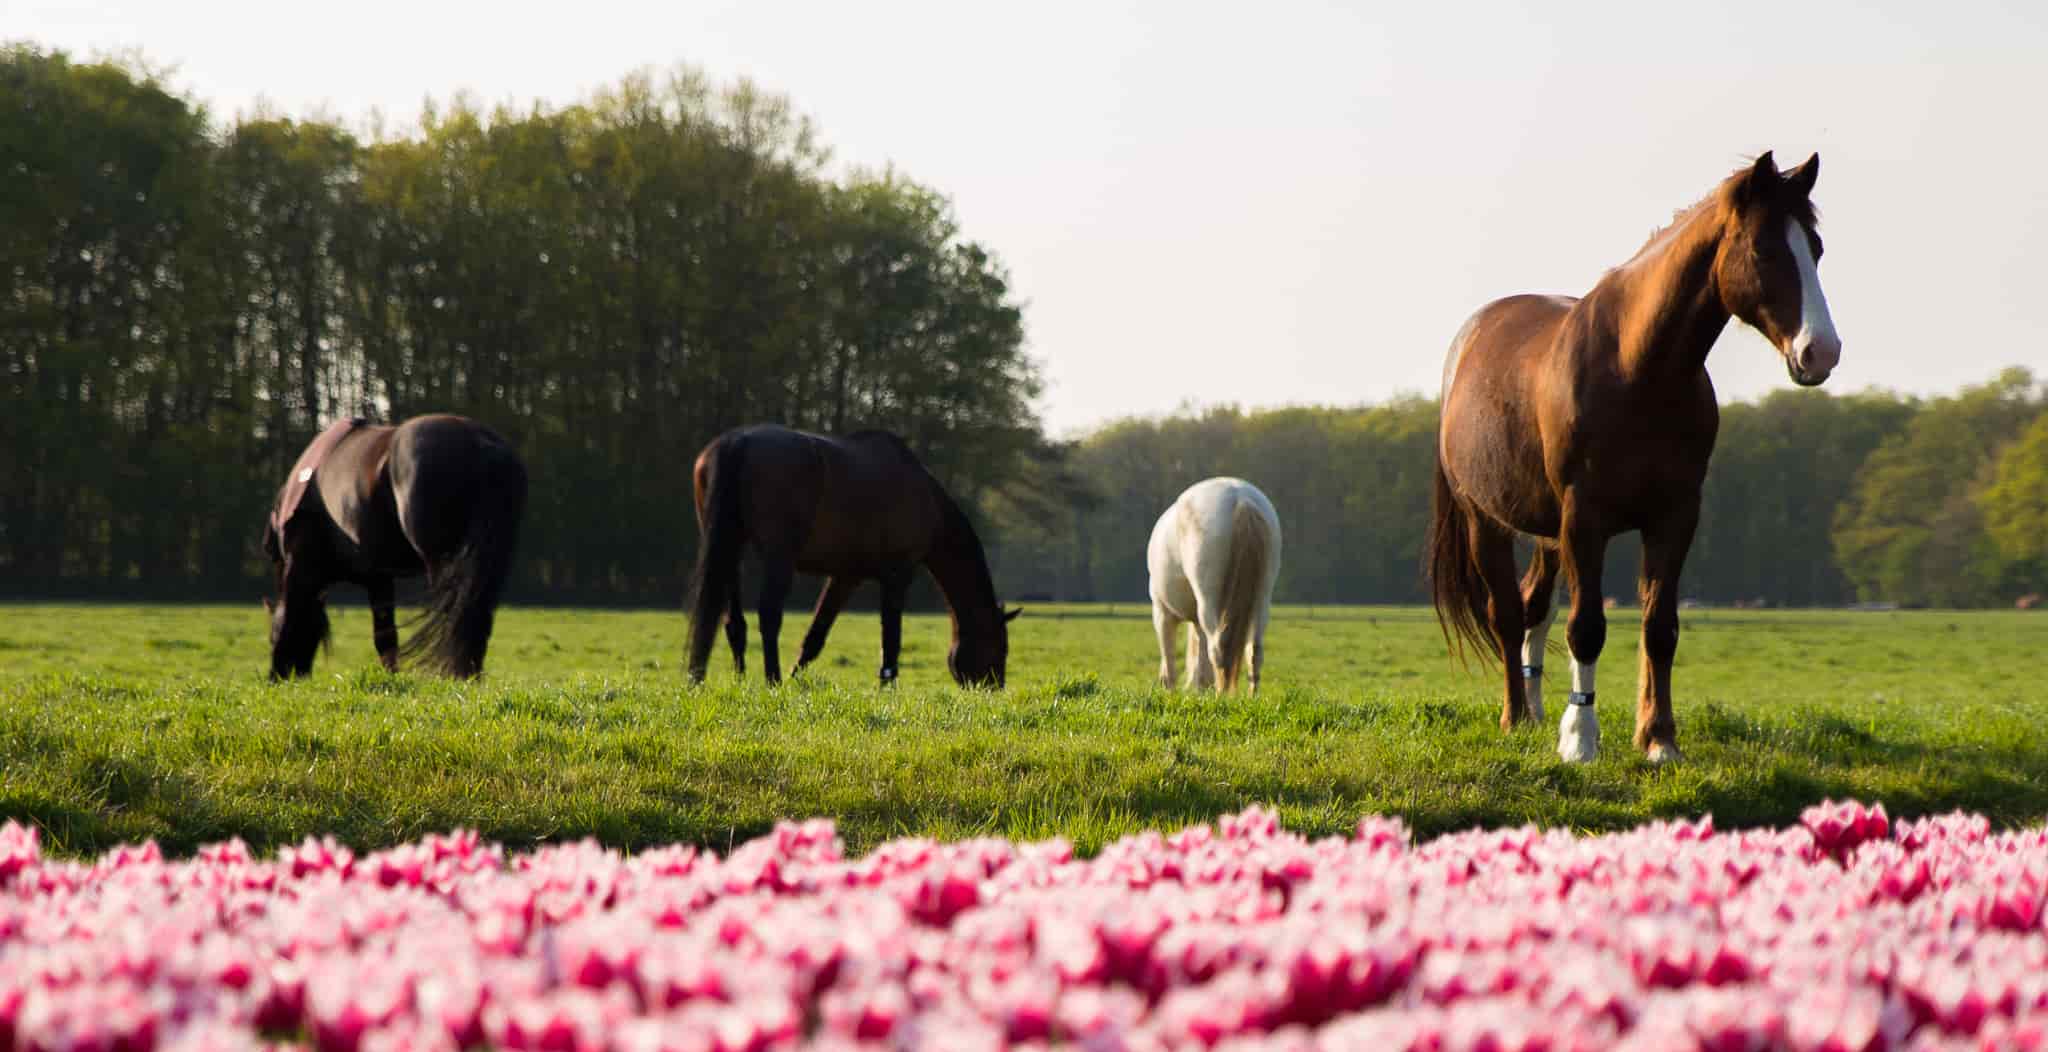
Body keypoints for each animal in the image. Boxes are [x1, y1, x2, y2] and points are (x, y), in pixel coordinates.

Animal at [262, 413, 528, 680]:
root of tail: (481, 443)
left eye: (272, 636)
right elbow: (385, 636)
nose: (279, 678)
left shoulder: (302, 567)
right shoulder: (378, 577)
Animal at [685, 424, 1021, 687]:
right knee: (769, 615)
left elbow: (815, 637)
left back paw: (731, 679)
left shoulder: (846, 576)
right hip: (778, 557)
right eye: (999, 646)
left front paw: (796, 679)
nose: (994, 688)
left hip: (731, 548)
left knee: (733, 621)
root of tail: (739, 442)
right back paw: (772, 679)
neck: (927, 501)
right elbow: (891, 638)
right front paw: (887, 688)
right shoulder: (898, 576)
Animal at [1148, 477, 1282, 693]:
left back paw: (1222, 695)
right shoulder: (1196, 623)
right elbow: (1201, 663)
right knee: (1255, 651)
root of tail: (1240, 497)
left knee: (1218, 649)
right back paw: (1251, 696)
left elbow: (1170, 665)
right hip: (1261, 599)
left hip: (1207, 601)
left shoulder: (1162, 613)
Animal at [1428, 151, 1841, 764]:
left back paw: (1536, 711)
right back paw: (1515, 718)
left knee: (1531, 607)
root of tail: (1468, 342)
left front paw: (1659, 739)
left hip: (1548, 533)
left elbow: (1659, 627)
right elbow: (1586, 628)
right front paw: (1581, 740)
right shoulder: (1585, 518)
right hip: (1487, 520)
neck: (1636, 369)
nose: (1821, 352)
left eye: (1815, 249)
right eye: (1764, 249)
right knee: (1504, 613)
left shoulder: (1675, 514)